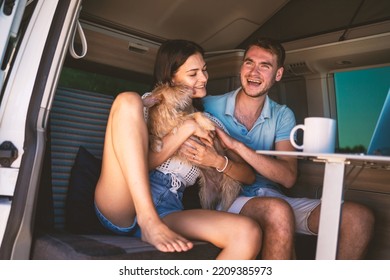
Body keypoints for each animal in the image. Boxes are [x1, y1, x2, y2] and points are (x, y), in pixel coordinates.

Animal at [143, 82, 241, 210]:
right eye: (172, 86)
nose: (186, 86)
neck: (168, 111)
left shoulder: (185, 118)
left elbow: (196, 114)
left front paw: (208, 124)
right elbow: (150, 134)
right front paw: (156, 145)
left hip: (229, 188)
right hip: (205, 196)